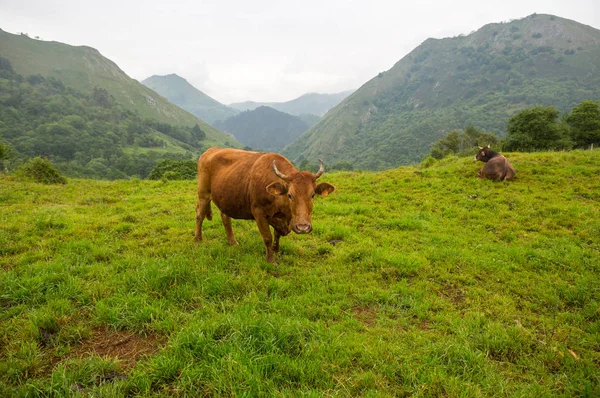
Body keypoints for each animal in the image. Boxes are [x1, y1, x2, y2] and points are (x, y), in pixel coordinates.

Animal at [195, 148, 336, 262]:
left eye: (312, 195)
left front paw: (277, 251)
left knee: (225, 218)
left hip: (226, 198)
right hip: (203, 193)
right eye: (290, 195)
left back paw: (233, 242)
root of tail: (211, 150)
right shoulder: (259, 214)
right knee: (199, 215)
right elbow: (267, 237)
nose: (303, 227)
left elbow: (277, 235)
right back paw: (198, 239)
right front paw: (271, 260)